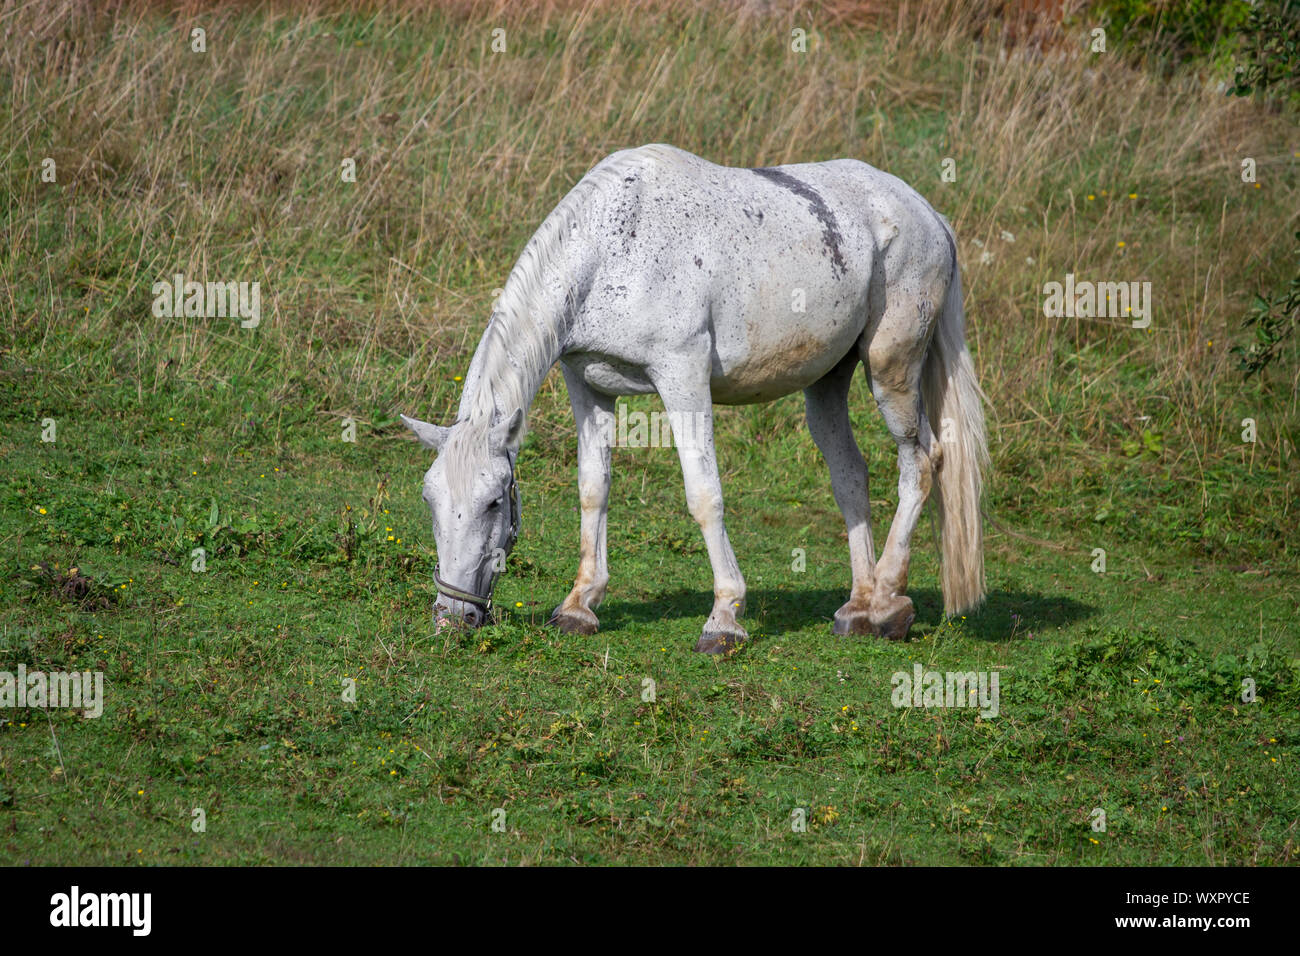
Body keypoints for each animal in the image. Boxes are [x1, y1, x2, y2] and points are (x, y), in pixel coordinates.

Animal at [403, 143, 982, 650]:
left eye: (494, 501)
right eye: (430, 500)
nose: (452, 618)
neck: (613, 250)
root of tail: (929, 213)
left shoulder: (682, 375)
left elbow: (704, 495)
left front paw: (724, 618)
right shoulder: (587, 386)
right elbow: (593, 489)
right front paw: (579, 605)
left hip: (890, 369)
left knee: (923, 461)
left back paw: (887, 601)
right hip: (827, 382)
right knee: (850, 475)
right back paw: (858, 608)